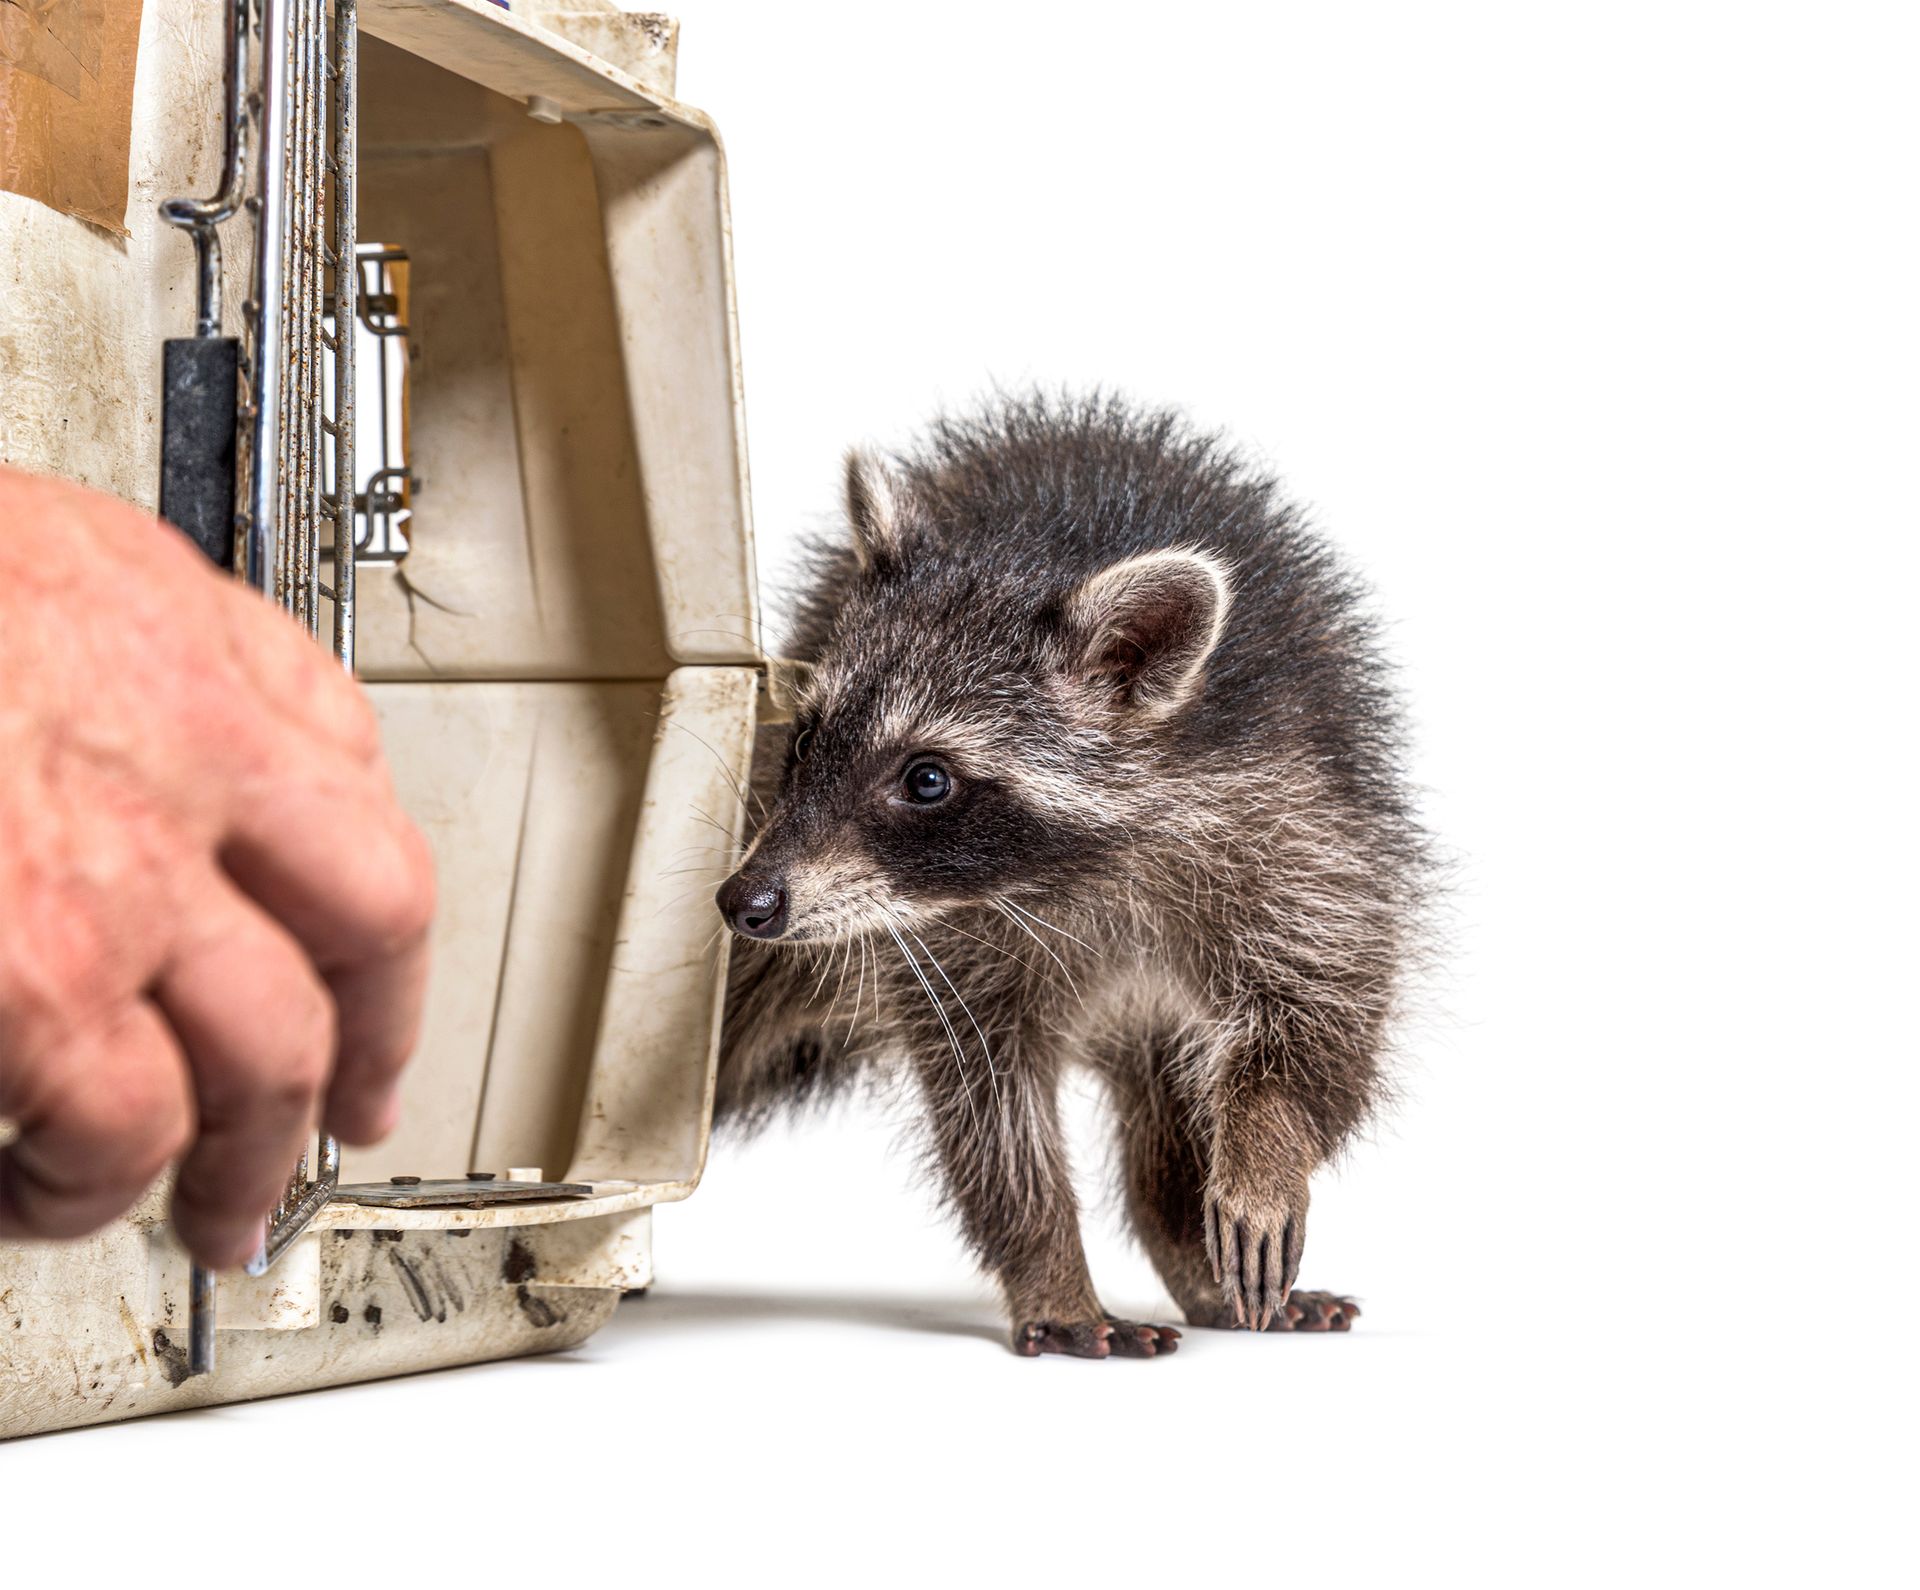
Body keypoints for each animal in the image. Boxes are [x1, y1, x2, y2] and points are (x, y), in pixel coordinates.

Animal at [714, 395, 1428, 1358]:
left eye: (927, 779)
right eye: (802, 743)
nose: (744, 901)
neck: (1071, 870)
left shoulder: (1300, 812)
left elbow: (1329, 1004)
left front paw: (1268, 1148)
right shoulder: (945, 943)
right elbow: (991, 1112)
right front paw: (1050, 1269)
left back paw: (1192, 1256)